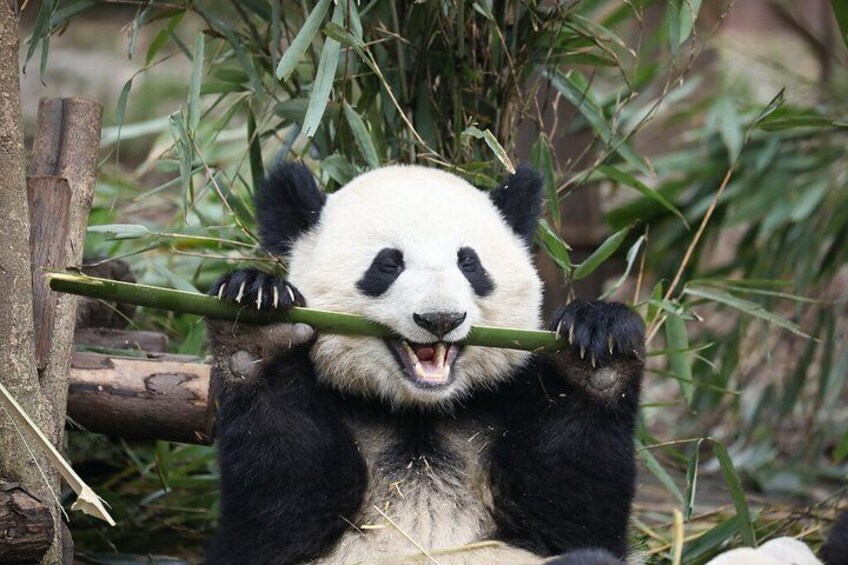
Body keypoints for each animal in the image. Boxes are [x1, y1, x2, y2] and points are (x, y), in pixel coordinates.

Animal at [204, 162, 646, 565]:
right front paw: (258, 324)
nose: (440, 319)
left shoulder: (504, 401)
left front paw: (597, 347)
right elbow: (278, 512)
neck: (421, 411)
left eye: (469, 263)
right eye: (388, 264)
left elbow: (573, 514)